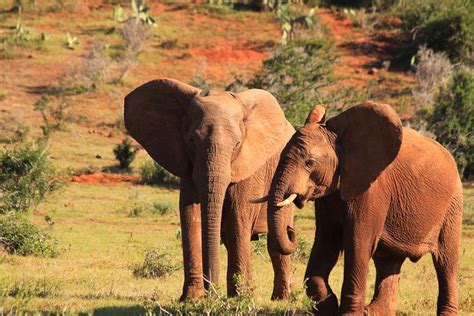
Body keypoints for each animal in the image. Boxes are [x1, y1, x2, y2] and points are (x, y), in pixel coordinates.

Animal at [124, 78, 298, 300]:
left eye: (237, 144)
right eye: (191, 140)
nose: (212, 292)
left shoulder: (248, 165)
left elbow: (237, 218)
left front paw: (241, 298)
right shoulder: (188, 164)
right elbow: (190, 214)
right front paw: (191, 298)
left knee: (276, 240)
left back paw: (281, 298)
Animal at [266, 102, 462, 314]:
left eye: (309, 162)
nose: (290, 230)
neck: (341, 141)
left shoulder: (372, 190)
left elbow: (357, 242)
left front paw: (348, 313)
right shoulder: (330, 195)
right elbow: (326, 242)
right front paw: (329, 306)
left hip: (453, 206)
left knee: (446, 262)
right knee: (388, 260)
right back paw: (374, 311)